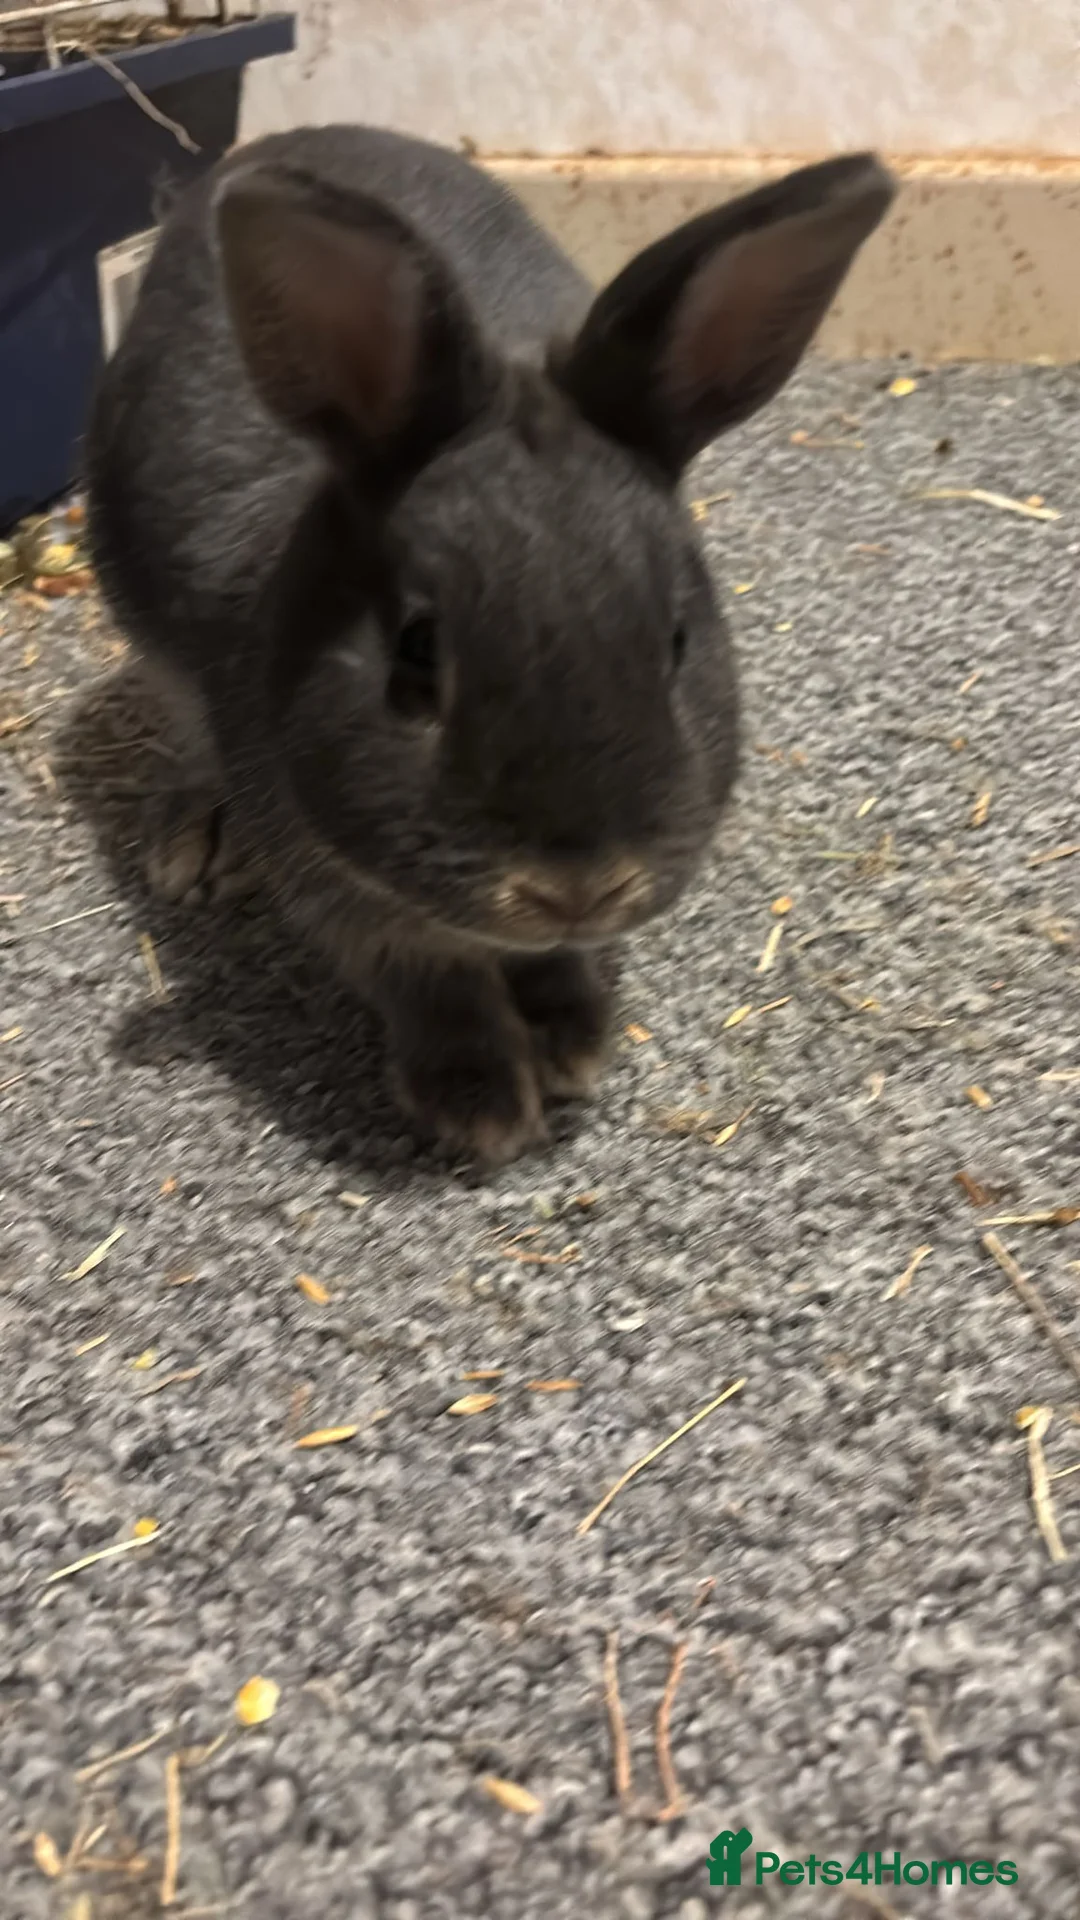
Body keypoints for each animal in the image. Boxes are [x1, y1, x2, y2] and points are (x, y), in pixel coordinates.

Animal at [85, 126, 895, 1164]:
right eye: (416, 653)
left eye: (677, 640)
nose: (575, 888)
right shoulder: (335, 882)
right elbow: (427, 978)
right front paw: (478, 1099)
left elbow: (550, 967)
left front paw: (571, 1038)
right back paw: (196, 841)